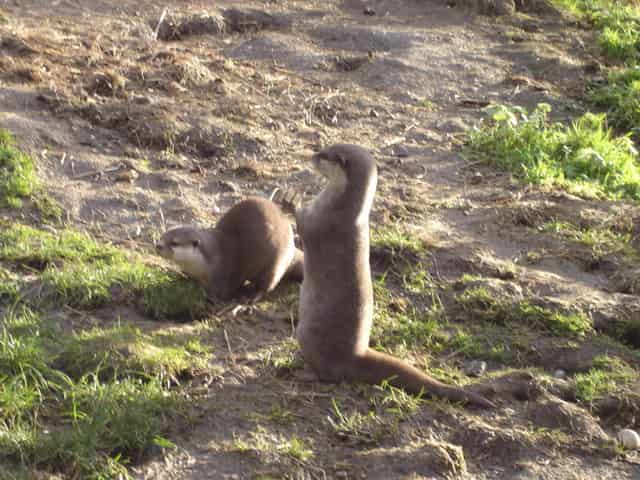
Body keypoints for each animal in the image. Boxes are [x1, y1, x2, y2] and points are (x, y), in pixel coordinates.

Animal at [156, 197, 304, 302]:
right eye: (162, 235)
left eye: (174, 243)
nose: (158, 245)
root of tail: (292, 246)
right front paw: (181, 276)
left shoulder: (223, 273)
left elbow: (222, 292)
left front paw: (209, 296)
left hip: (276, 262)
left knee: (267, 284)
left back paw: (252, 297)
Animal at [296, 144, 496, 406]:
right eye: (324, 149)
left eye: (325, 156)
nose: (312, 156)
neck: (339, 208)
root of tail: (356, 354)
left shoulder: (321, 223)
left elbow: (302, 225)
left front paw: (290, 199)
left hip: (306, 334)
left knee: (327, 374)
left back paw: (305, 374)